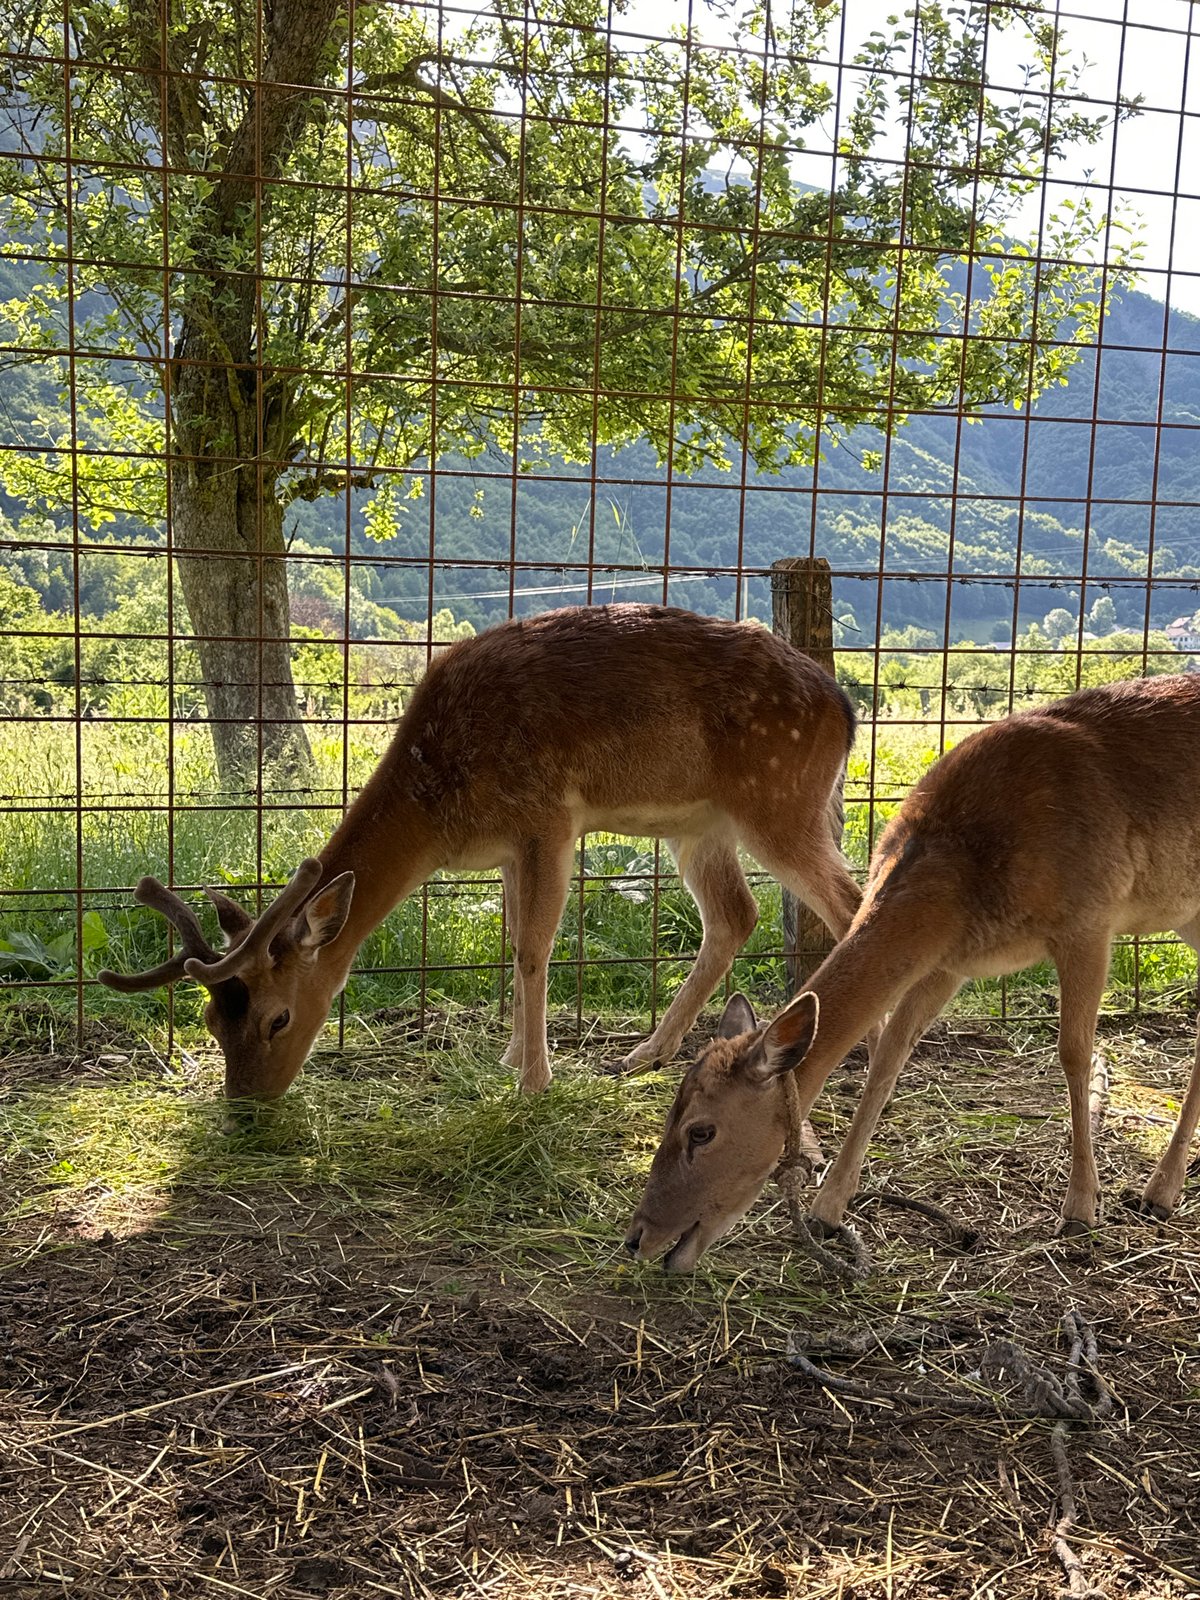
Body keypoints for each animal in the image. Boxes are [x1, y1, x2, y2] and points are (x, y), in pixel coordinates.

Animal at [99, 603, 864, 1101]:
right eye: (208, 1021)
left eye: (276, 1016)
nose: (245, 1105)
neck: (440, 806)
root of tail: (846, 707)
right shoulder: (509, 849)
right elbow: (512, 938)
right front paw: (511, 1057)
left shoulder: (549, 818)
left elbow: (532, 948)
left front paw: (534, 1082)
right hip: (699, 826)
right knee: (736, 915)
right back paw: (644, 1053)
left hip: (780, 801)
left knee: (851, 902)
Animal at [625, 672, 1200, 1272]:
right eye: (670, 1112)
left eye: (702, 1131)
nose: (637, 1237)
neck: (972, 875)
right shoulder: (946, 960)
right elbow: (889, 1057)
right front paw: (828, 1208)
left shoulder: (1090, 920)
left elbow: (1073, 1051)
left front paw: (1081, 1208)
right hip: (1188, 914)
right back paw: (1162, 1191)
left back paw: (1155, 1190)